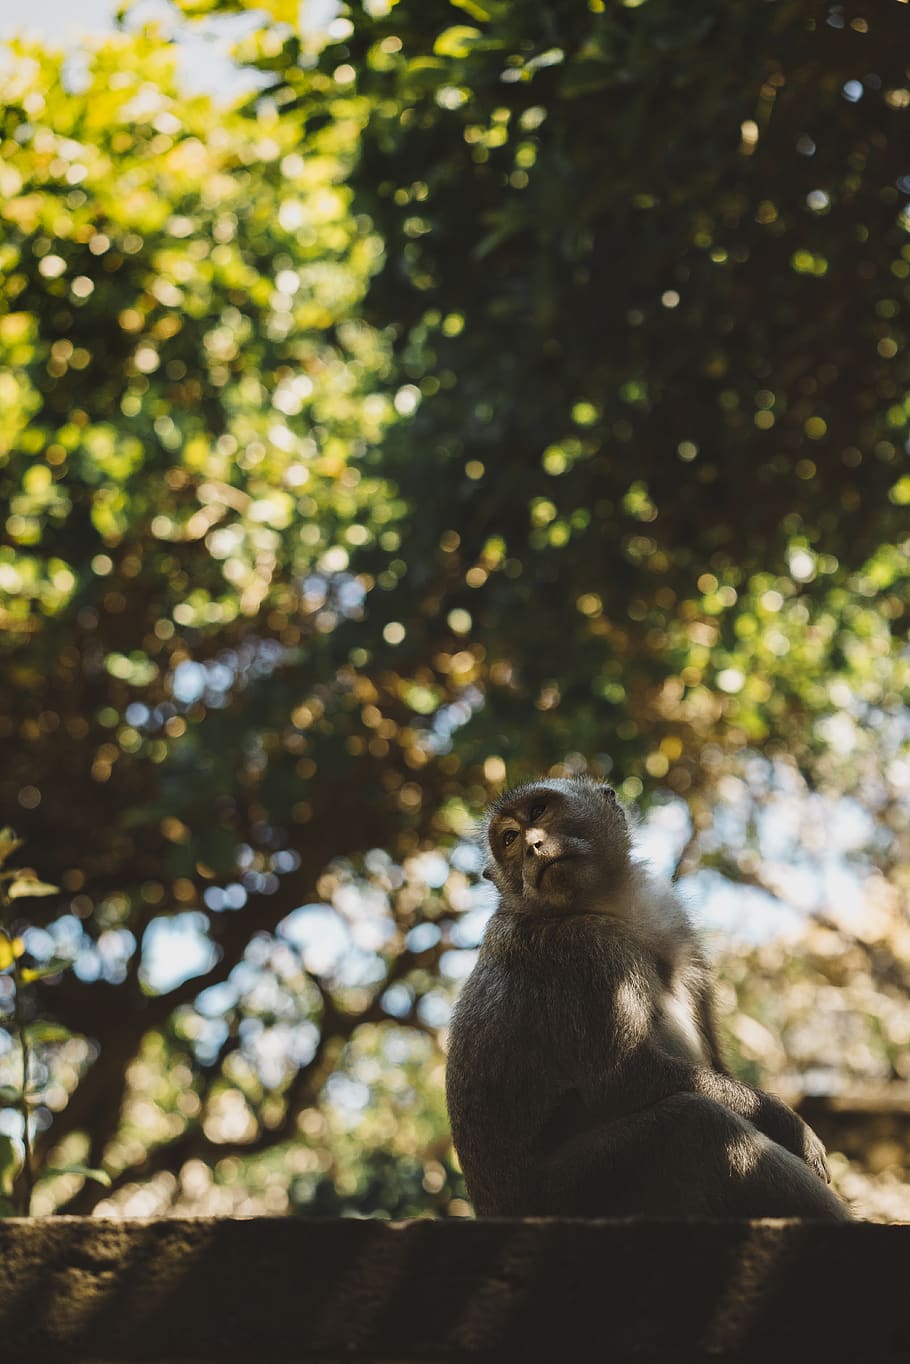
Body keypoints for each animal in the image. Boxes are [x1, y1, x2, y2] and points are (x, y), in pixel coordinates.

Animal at [445, 776, 853, 1220]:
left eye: (538, 812)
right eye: (509, 838)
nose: (533, 845)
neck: (602, 904)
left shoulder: (671, 918)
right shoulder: (581, 953)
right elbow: (626, 1078)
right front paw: (791, 1126)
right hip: (575, 1191)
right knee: (696, 1123)